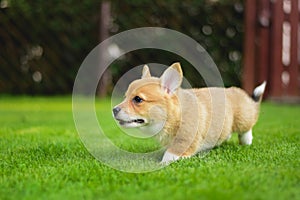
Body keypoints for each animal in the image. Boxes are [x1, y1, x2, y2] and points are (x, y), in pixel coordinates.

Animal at [112, 62, 264, 164]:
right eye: (125, 97)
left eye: (138, 99)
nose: (114, 110)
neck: (172, 118)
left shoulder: (185, 140)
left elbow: (170, 154)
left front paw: (162, 163)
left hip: (243, 118)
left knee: (247, 127)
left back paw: (246, 140)